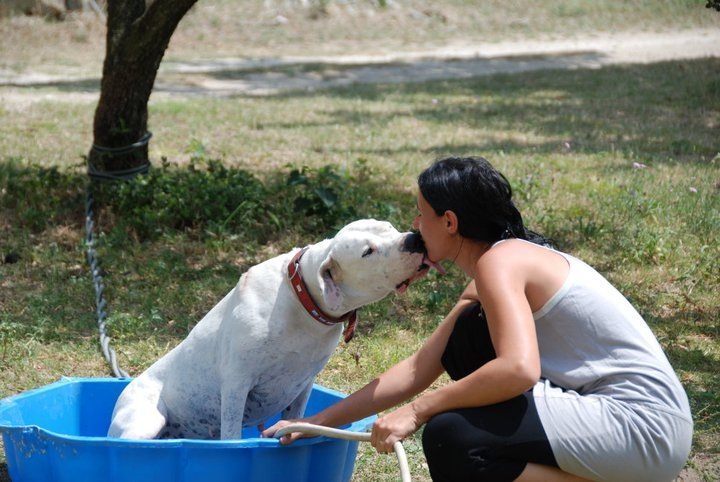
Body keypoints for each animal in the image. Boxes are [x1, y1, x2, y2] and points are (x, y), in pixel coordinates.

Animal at [106, 220, 434, 438]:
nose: (414, 239)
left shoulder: (303, 385)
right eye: (368, 251)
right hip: (143, 422)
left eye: (389, 227)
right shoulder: (236, 383)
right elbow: (231, 435)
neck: (302, 298)